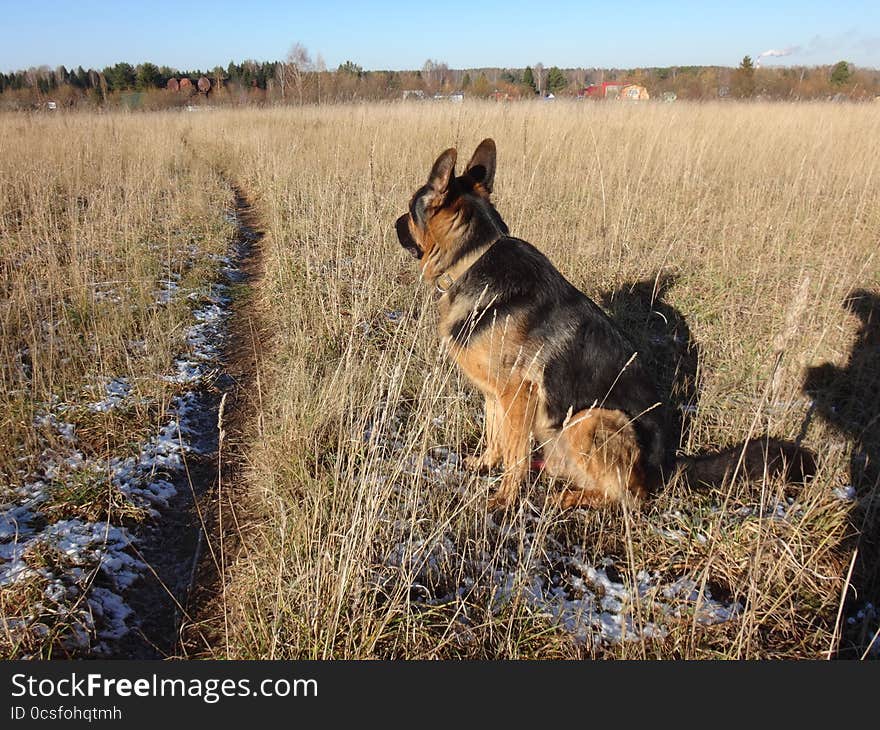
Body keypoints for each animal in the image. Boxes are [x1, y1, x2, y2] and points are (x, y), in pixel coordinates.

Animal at [396, 139, 816, 510]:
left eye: (410, 211)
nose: (395, 222)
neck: (474, 256)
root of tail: (667, 467)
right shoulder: (497, 396)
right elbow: (496, 437)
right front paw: (483, 465)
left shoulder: (519, 394)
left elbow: (514, 455)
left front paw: (504, 498)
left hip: (589, 419)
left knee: (627, 497)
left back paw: (570, 498)